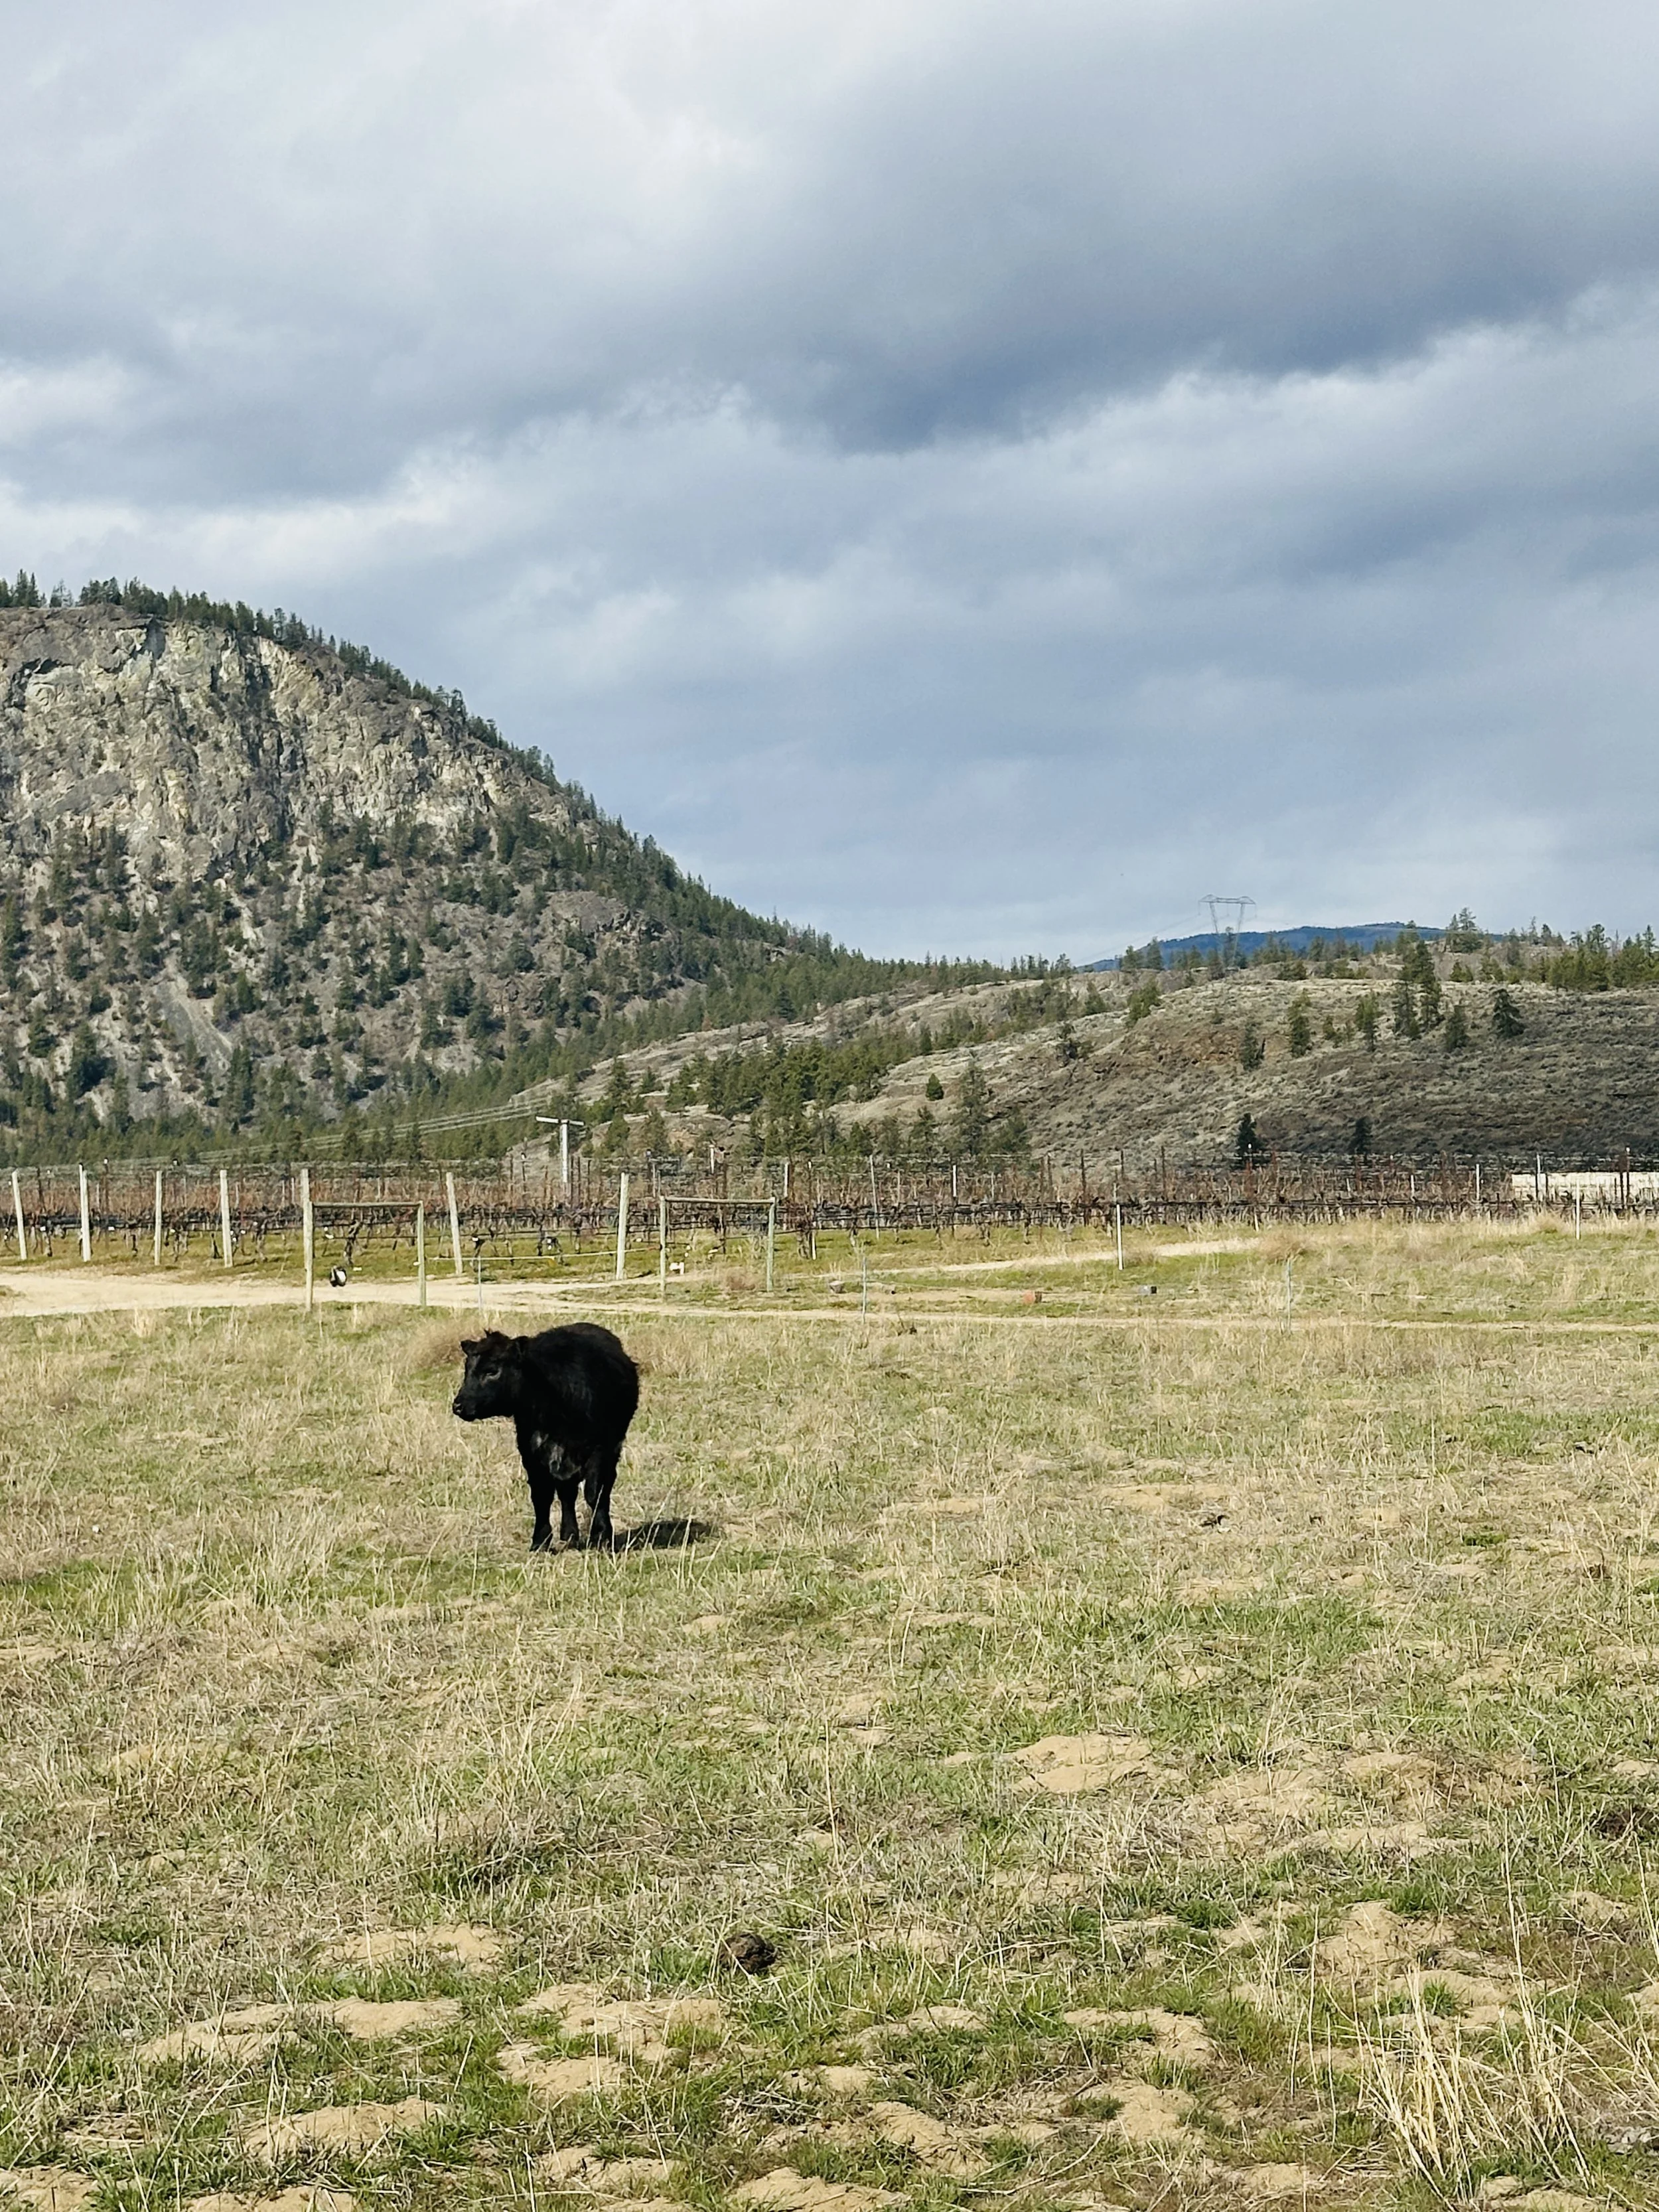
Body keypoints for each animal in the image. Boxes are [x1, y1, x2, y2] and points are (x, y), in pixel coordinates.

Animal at [452, 1323, 640, 1552]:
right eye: (467, 1370)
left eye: (492, 1371)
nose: (458, 1406)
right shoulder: (531, 1452)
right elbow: (542, 1496)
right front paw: (540, 1541)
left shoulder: (600, 1449)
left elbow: (594, 1493)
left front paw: (602, 1536)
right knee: (567, 1492)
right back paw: (569, 1535)